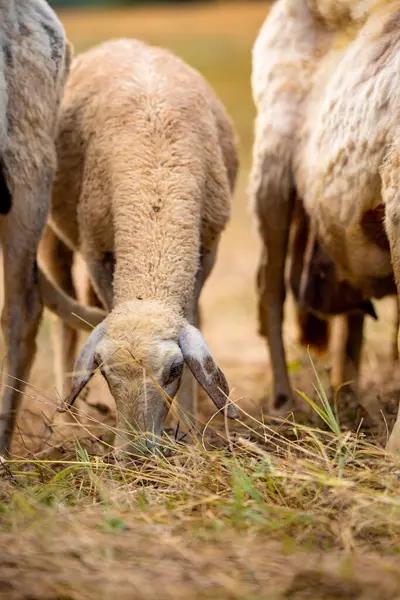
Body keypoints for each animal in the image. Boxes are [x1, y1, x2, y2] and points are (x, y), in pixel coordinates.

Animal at [39, 38, 241, 454]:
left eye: (176, 369)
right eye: (103, 369)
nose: (136, 455)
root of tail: (124, 42)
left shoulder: (207, 250)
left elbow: (192, 316)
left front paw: (191, 429)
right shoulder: (96, 250)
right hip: (56, 233)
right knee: (66, 315)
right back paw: (71, 423)